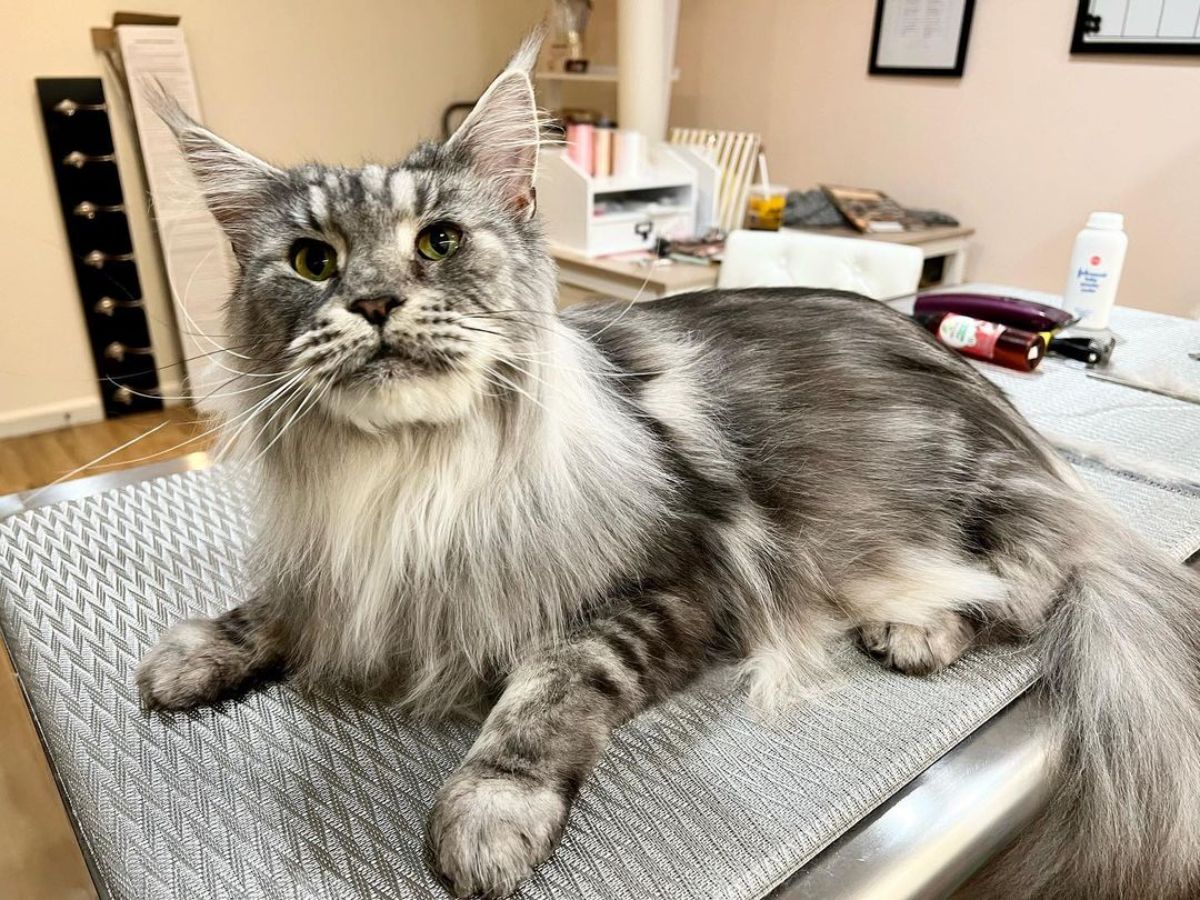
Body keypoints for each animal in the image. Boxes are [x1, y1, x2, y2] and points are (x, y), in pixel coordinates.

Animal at [136, 35, 1200, 900]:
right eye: (312, 263)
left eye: (438, 242)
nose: (374, 302)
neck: (414, 480)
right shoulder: (341, 569)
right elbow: (278, 605)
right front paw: (197, 654)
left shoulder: (684, 586)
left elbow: (549, 684)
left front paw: (490, 809)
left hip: (972, 508)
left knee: (1032, 592)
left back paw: (917, 627)